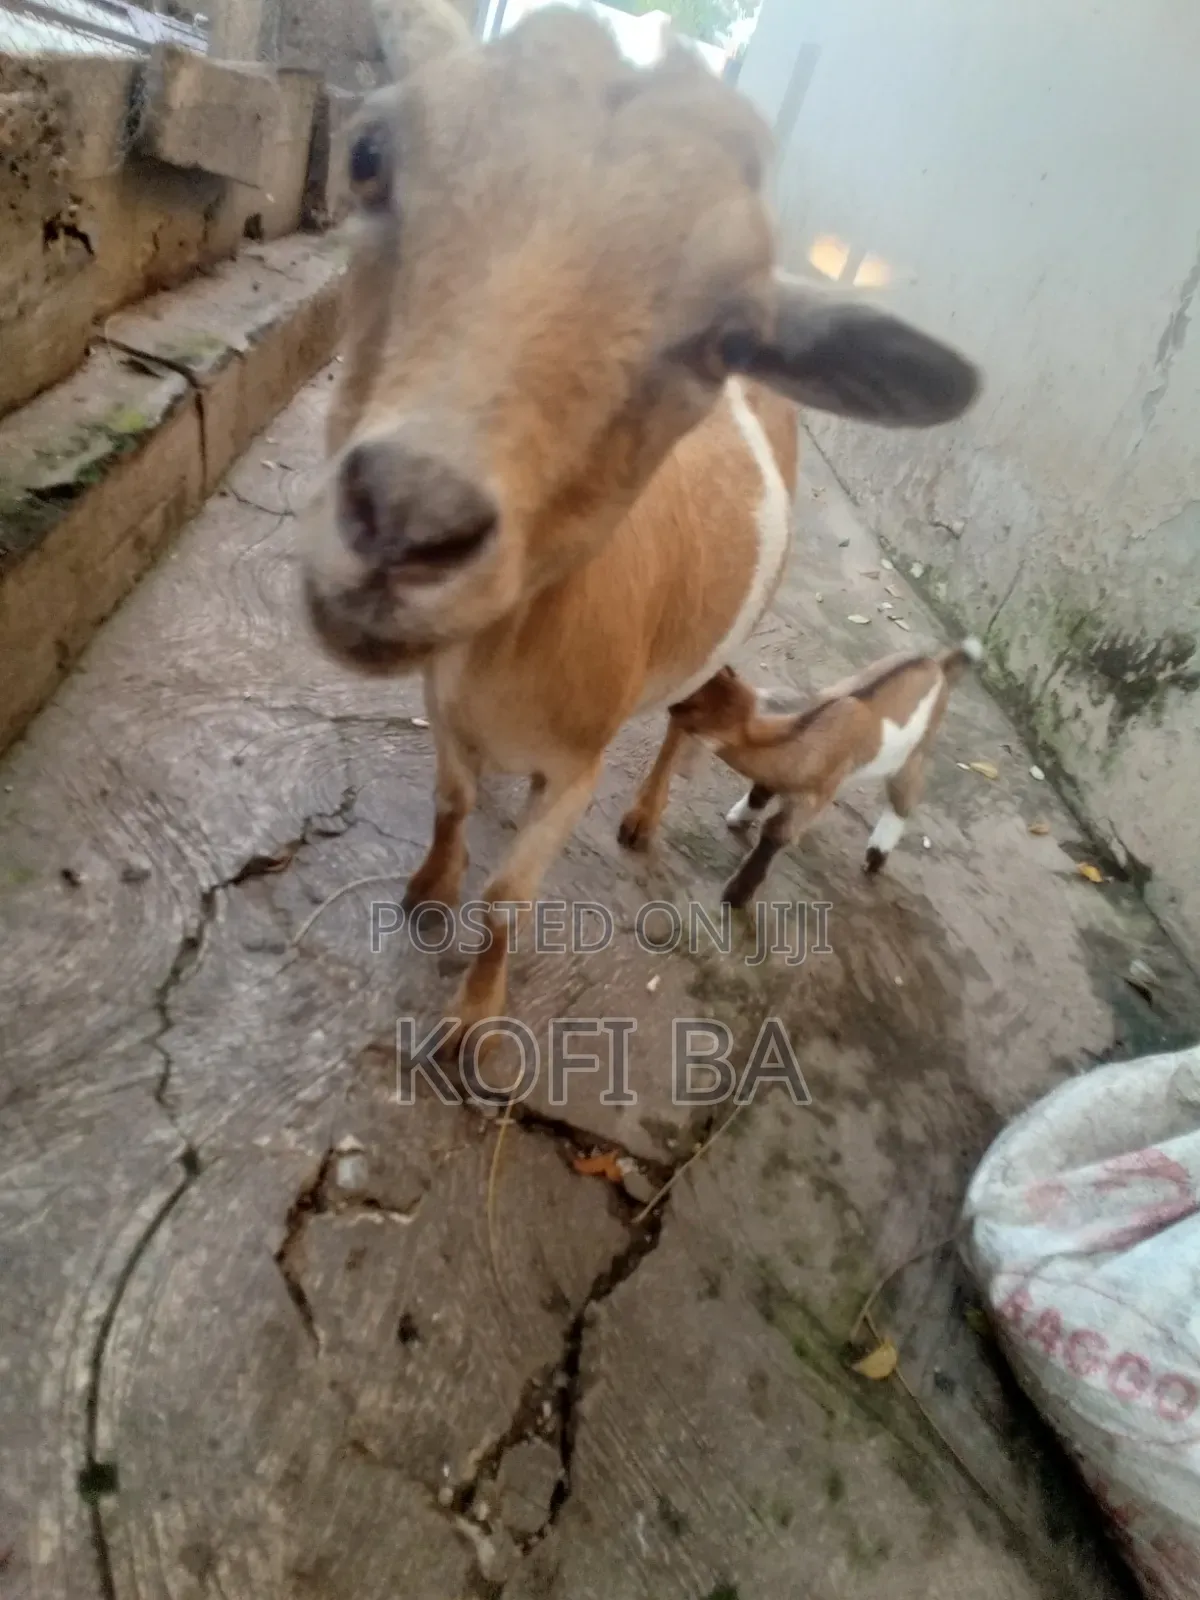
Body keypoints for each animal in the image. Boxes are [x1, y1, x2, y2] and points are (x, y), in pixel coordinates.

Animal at [663, 640, 984, 907]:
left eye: (689, 703)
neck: (803, 732)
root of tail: (938, 666)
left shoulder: (817, 795)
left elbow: (777, 832)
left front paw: (735, 896)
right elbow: (761, 790)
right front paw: (738, 819)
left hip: (913, 755)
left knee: (904, 799)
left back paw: (875, 857)